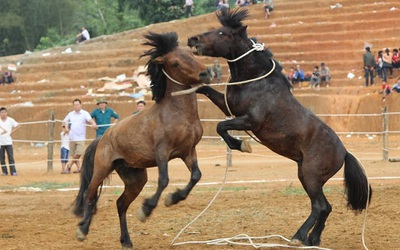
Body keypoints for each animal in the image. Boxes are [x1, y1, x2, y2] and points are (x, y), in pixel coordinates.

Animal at [74, 31, 214, 250]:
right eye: (175, 63)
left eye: (190, 54)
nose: (206, 73)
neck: (178, 114)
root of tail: (103, 138)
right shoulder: (162, 152)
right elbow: (164, 180)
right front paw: (146, 209)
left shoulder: (188, 151)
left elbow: (196, 176)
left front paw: (173, 198)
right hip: (102, 168)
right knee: (90, 193)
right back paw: (83, 229)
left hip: (135, 178)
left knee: (120, 203)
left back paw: (126, 240)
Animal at [188, 8, 372, 247]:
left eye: (221, 33)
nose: (193, 39)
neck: (255, 80)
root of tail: (344, 152)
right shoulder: (229, 106)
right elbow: (207, 92)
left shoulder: (250, 120)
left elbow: (221, 127)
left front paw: (241, 145)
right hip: (306, 176)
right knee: (325, 207)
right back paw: (312, 239)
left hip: (311, 176)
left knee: (320, 206)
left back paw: (299, 237)